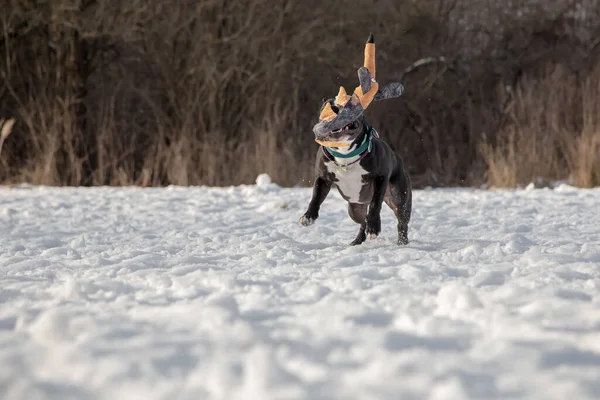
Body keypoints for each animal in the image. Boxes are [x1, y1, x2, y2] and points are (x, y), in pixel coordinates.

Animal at [298, 32, 410, 245]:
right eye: (327, 106)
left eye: (351, 103)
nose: (336, 109)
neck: (345, 155)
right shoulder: (323, 178)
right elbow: (316, 196)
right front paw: (308, 216)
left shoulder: (380, 179)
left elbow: (375, 205)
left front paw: (375, 227)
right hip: (355, 207)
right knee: (361, 221)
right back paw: (357, 241)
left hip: (399, 196)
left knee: (401, 220)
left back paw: (402, 242)